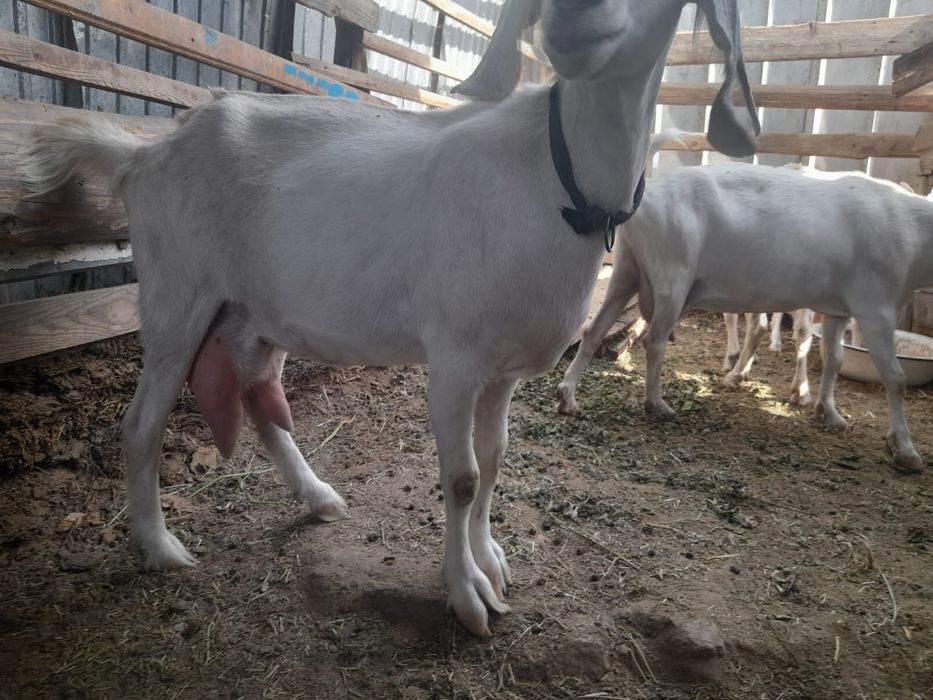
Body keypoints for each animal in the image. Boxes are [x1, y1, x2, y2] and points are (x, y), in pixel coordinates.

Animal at [24, 0, 758, 637]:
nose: (575, 19)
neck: (558, 179)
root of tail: (143, 154)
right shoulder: (455, 359)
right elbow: (462, 478)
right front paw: (467, 596)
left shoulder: (503, 371)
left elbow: (495, 460)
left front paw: (491, 562)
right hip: (178, 294)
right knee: (141, 424)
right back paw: (159, 546)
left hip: (254, 312)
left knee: (260, 399)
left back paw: (318, 497)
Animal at [557, 164, 932, 473]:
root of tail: (642, 204)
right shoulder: (875, 306)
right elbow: (895, 377)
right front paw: (905, 448)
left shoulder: (839, 308)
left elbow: (834, 360)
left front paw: (830, 413)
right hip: (672, 276)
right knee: (654, 340)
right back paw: (657, 404)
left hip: (628, 269)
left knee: (593, 330)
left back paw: (568, 397)